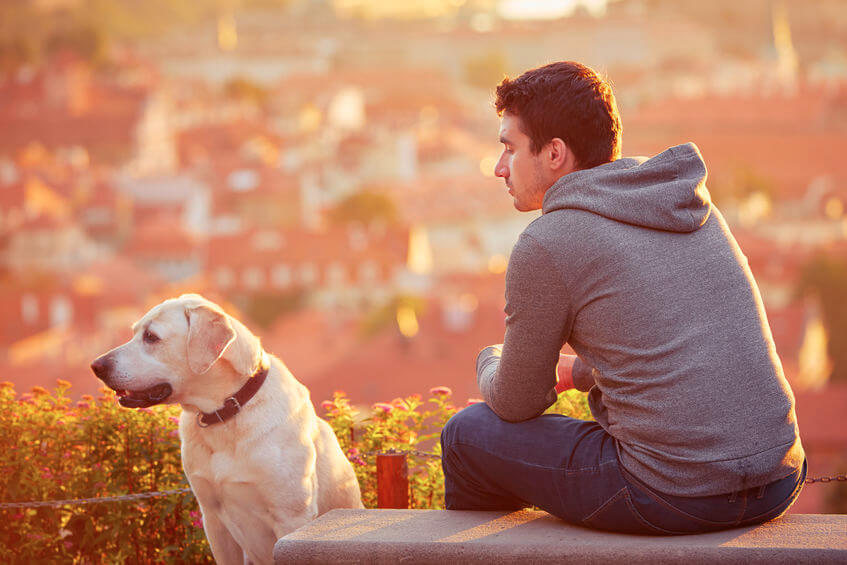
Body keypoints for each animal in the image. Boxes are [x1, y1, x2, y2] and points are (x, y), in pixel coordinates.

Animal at [93, 294, 364, 560]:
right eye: (134, 332)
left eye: (151, 337)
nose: (96, 366)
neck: (225, 413)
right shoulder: (213, 519)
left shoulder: (292, 517)